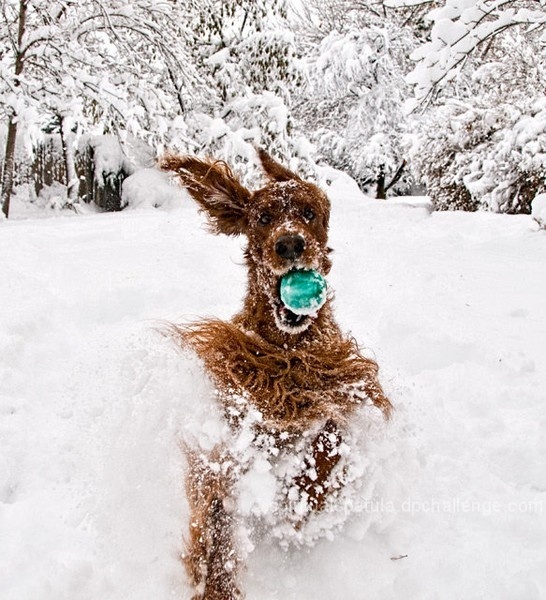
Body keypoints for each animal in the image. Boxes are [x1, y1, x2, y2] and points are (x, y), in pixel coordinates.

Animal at [159, 150, 388, 600]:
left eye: (309, 213)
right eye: (263, 217)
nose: (290, 244)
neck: (287, 351)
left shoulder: (333, 387)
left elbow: (328, 440)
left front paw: (305, 496)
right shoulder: (231, 422)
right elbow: (216, 507)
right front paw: (215, 578)